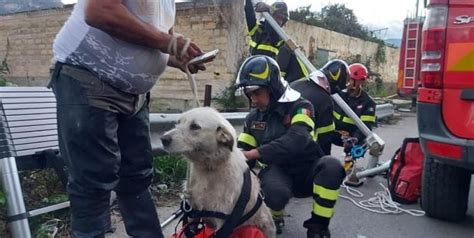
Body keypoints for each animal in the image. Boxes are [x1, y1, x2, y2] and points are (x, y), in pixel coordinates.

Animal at [161, 107, 276, 237]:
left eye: (195, 126)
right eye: (178, 122)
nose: (163, 139)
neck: (209, 169)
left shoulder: (223, 222)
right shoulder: (192, 214)